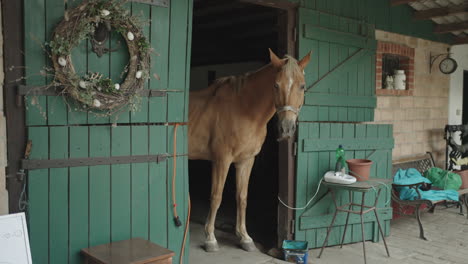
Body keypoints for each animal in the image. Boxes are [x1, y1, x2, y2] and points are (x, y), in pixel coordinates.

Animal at [186, 49, 310, 252]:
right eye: (276, 85)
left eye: (302, 86)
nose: (286, 129)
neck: (244, 109)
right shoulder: (222, 160)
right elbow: (216, 197)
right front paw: (210, 238)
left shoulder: (246, 161)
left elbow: (242, 197)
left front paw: (244, 237)